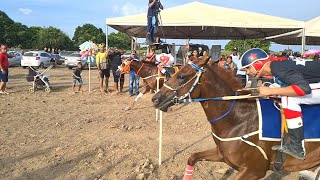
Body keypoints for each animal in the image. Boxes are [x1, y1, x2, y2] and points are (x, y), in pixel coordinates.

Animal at [152, 57, 320, 179]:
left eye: (181, 76)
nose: (155, 99)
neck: (238, 119)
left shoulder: (254, 170)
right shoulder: (221, 154)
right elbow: (193, 157)